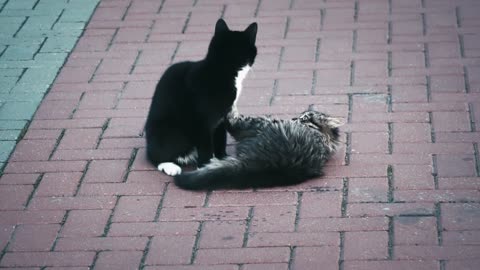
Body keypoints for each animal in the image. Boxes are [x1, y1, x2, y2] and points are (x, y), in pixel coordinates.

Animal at [145, 18, 256, 175]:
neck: (221, 69)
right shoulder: (201, 121)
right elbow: (205, 145)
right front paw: (205, 166)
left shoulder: (221, 117)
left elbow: (220, 137)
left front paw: (222, 158)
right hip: (169, 133)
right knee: (154, 154)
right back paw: (170, 166)